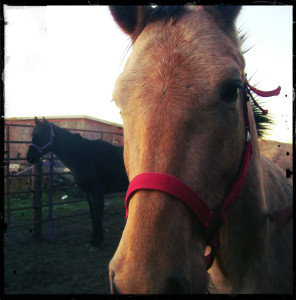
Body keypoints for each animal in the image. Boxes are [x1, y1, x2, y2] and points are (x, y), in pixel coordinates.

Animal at [25, 117, 127, 251]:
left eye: (42, 135)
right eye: (33, 134)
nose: (29, 157)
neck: (84, 156)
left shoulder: (97, 193)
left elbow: (98, 216)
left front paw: (96, 243)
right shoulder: (88, 193)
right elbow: (93, 216)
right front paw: (92, 241)